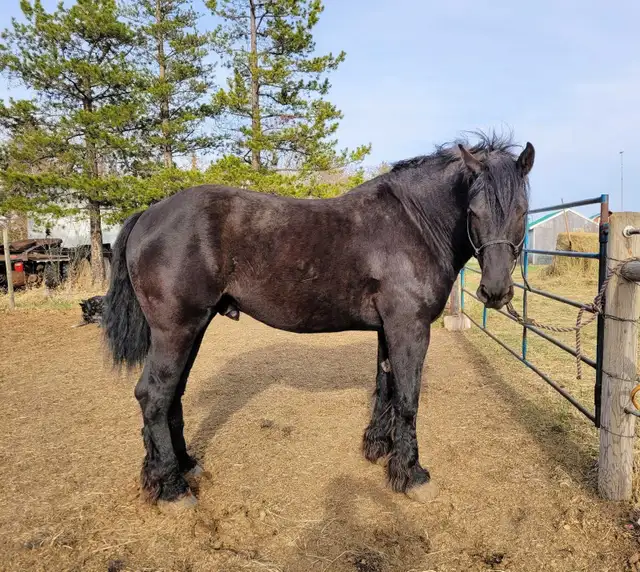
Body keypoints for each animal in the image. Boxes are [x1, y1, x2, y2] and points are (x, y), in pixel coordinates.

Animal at [102, 132, 534, 507]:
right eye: (473, 211)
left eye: (521, 211)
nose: (496, 292)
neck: (413, 224)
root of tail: (149, 215)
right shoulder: (409, 328)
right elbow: (408, 398)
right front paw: (412, 475)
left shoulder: (389, 328)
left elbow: (386, 386)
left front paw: (377, 448)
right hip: (175, 329)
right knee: (154, 395)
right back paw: (172, 488)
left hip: (195, 327)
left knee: (172, 394)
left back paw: (182, 467)